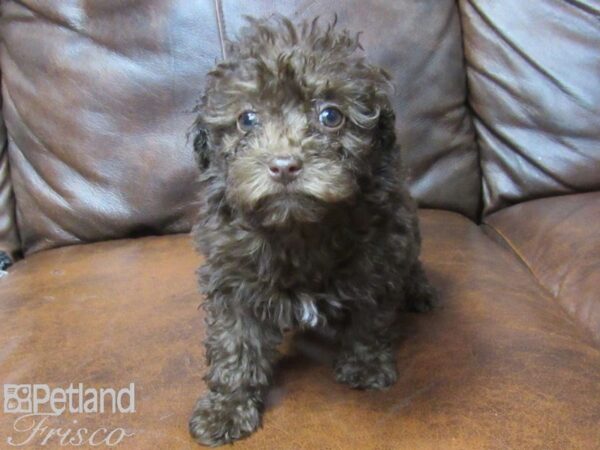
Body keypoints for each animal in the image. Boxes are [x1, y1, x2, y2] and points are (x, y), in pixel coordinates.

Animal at [189, 14, 436, 446]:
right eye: (247, 119)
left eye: (331, 116)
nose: (284, 165)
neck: (296, 227)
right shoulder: (232, 279)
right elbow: (234, 343)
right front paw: (226, 409)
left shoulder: (378, 257)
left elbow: (370, 318)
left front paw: (366, 368)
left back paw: (419, 291)